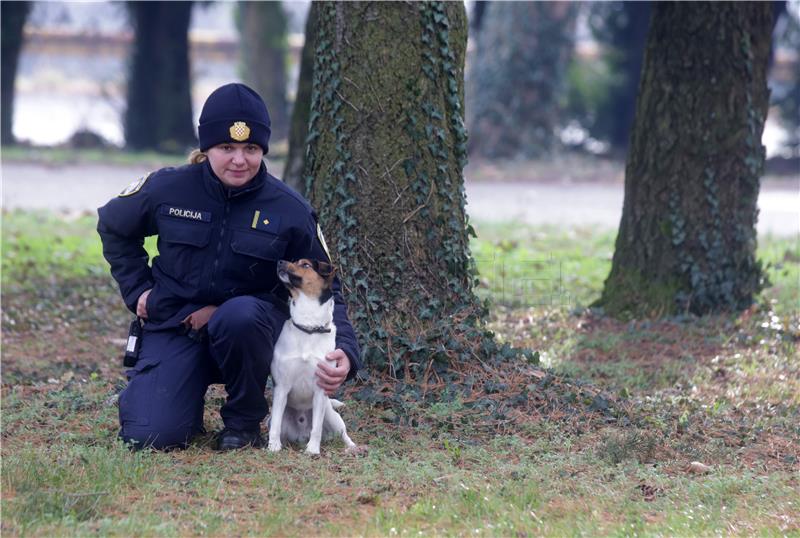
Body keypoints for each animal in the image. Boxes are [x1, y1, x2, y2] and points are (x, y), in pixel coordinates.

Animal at [268, 255, 356, 452]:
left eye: (305, 264)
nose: (279, 262)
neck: (309, 328)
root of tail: (301, 434)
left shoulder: (321, 388)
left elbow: (317, 428)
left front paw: (313, 450)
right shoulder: (281, 388)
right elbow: (275, 425)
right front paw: (273, 447)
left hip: (332, 416)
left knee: (342, 433)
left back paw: (353, 447)